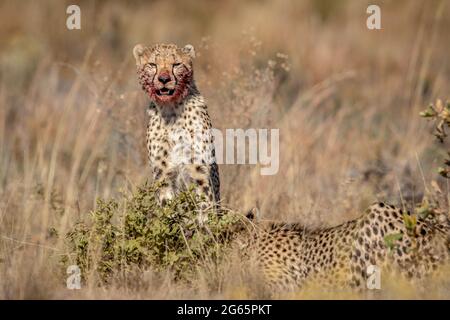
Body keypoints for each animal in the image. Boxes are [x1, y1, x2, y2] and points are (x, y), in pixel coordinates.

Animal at [132, 42, 220, 208]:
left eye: (176, 64)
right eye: (152, 64)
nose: (164, 79)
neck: (171, 110)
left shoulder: (199, 171)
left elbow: (205, 205)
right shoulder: (163, 174)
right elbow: (167, 208)